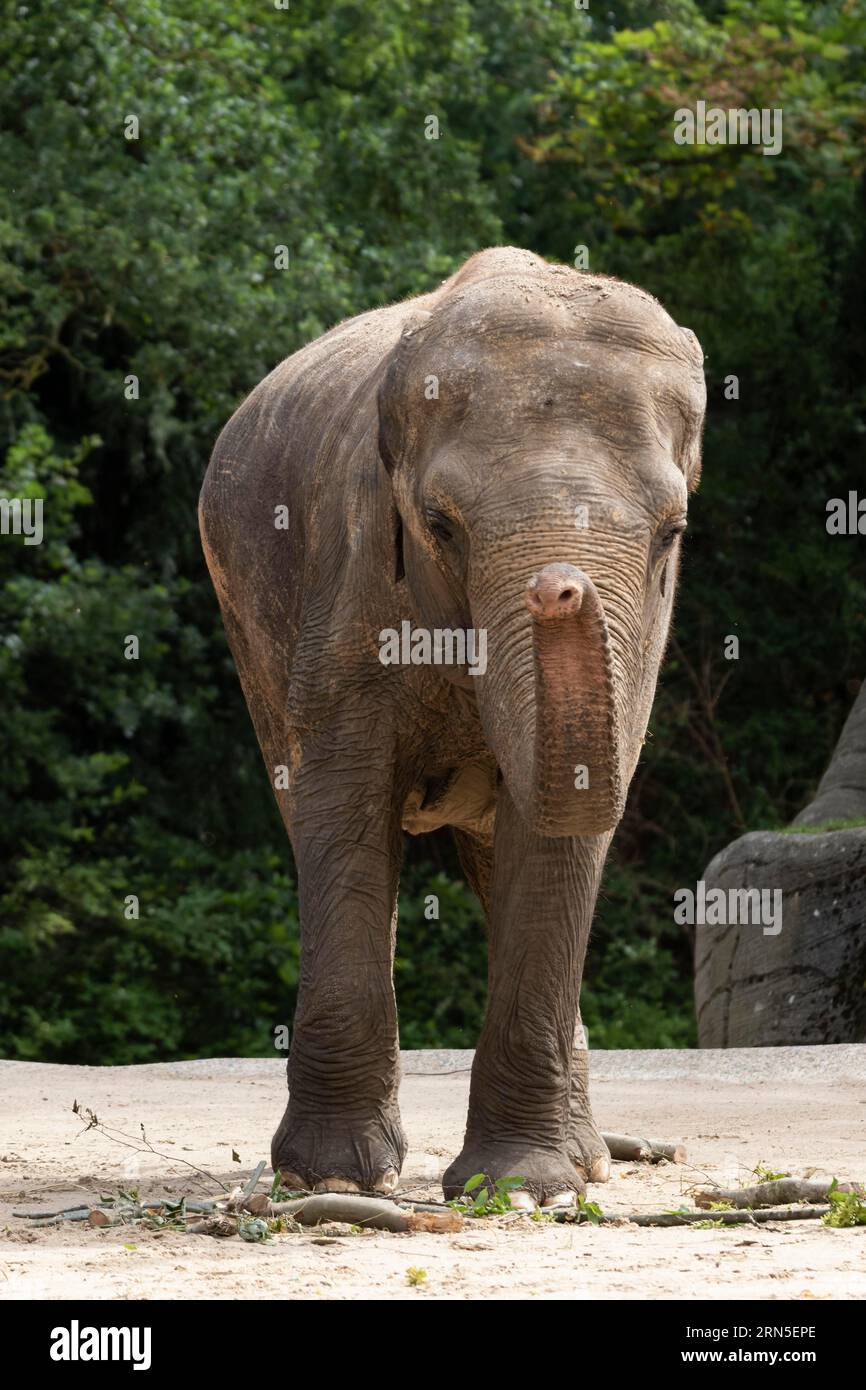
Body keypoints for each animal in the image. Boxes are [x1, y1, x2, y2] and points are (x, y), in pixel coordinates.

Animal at [200, 247, 708, 1206]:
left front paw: (526, 1187)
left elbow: (561, 822)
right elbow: (342, 803)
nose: (560, 588)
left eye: (673, 531)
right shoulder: (352, 574)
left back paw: (586, 1160)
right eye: (439, 525)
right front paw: (334, 1176)